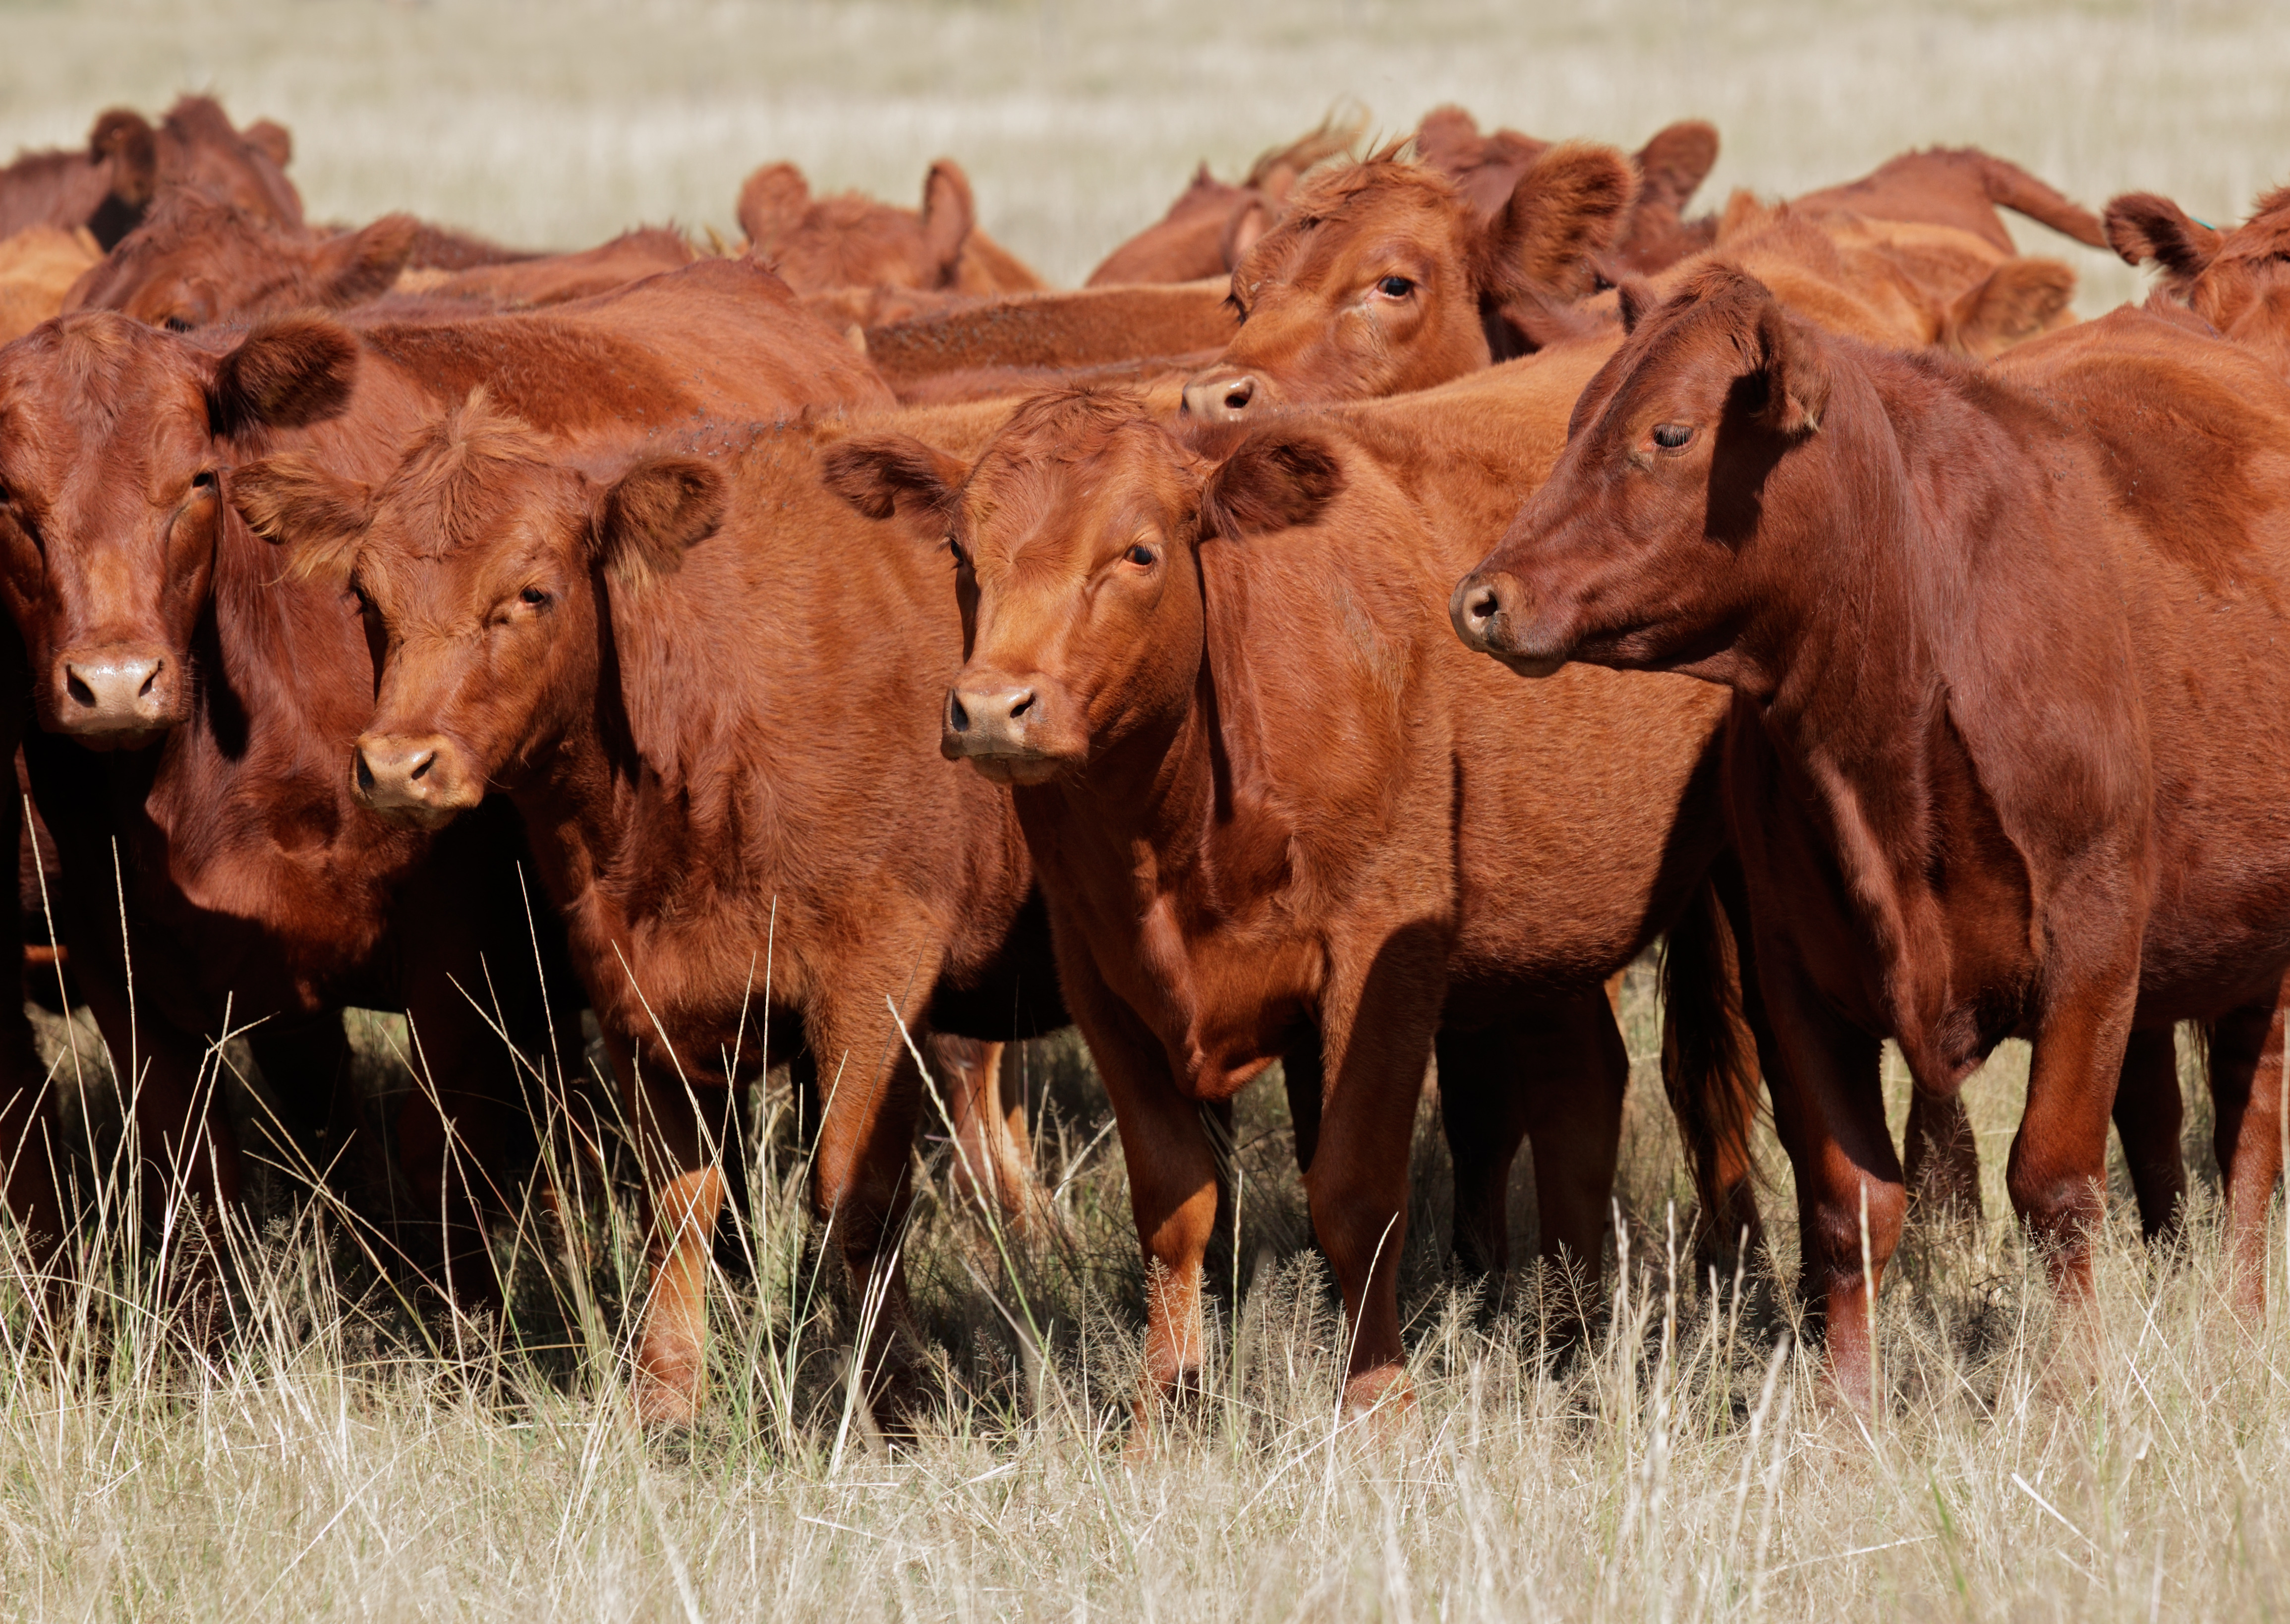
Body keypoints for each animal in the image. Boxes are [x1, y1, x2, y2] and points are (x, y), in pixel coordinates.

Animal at [0, 259, 899, 1295]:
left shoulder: (454, 955)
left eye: (197, 480)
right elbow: (194, 1185)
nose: (113, 682)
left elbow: (437, 1157)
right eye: (8, 499)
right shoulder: (130, 974)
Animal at [233, 391, 1068, 1426]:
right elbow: (676, 1205)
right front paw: (665, 1397)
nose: (396, 766)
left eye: (533, 594)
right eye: (364, 599)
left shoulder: (879, 977)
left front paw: (896, 1397)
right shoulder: (641, 993)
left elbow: (858, 1194)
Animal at [821, 371, 1773, 1426]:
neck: (1173, 829)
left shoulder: (1382, 950)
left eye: (1140, 552)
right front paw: (1163, 1414)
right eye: (959, 551)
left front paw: (1379, 1411)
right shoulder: (1101, 975)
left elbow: (1353, 1193)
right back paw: (1570, 1340)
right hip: (1548, 922)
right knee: (1582, 1086)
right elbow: (1176, 1202)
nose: (993, 707)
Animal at [1452, 275, 2290, 1409]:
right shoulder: (1796, 974)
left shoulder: (2093, 949)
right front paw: (1847, 1413)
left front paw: (2073, 1390)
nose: (1484, 598)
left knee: (2250, 1129)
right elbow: (1850, 1206)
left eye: (1668, 432)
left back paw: (2240, 1313)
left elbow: (2055, 1182)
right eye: (1576, 420)